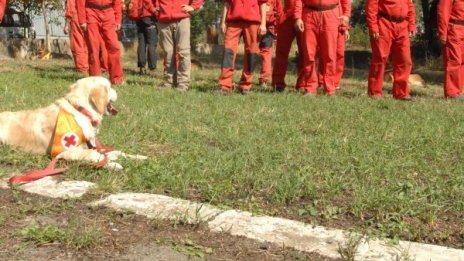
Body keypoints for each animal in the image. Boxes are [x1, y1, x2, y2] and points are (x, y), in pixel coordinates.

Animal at [0, 75, 147, 170]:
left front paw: (138, 157)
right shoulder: (64, 152)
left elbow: (116, 152)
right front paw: (112, 164)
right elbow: (96, 155)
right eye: (109, 87)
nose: (117, 90)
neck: (81, 111)